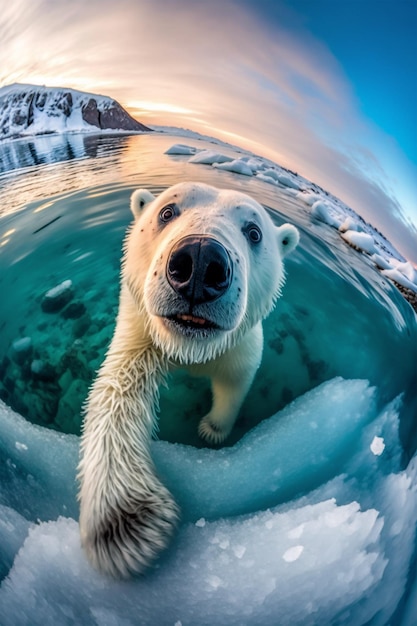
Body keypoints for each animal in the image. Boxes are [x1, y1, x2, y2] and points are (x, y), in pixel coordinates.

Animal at [78, 180, 300, 576]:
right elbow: (116, 389)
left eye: (254, 231)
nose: (200, 261)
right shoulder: (141, 332)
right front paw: (125, 522)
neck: (189, 349)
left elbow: (234, 382)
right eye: (167, 211)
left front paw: (211, 429)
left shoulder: (240, 345)